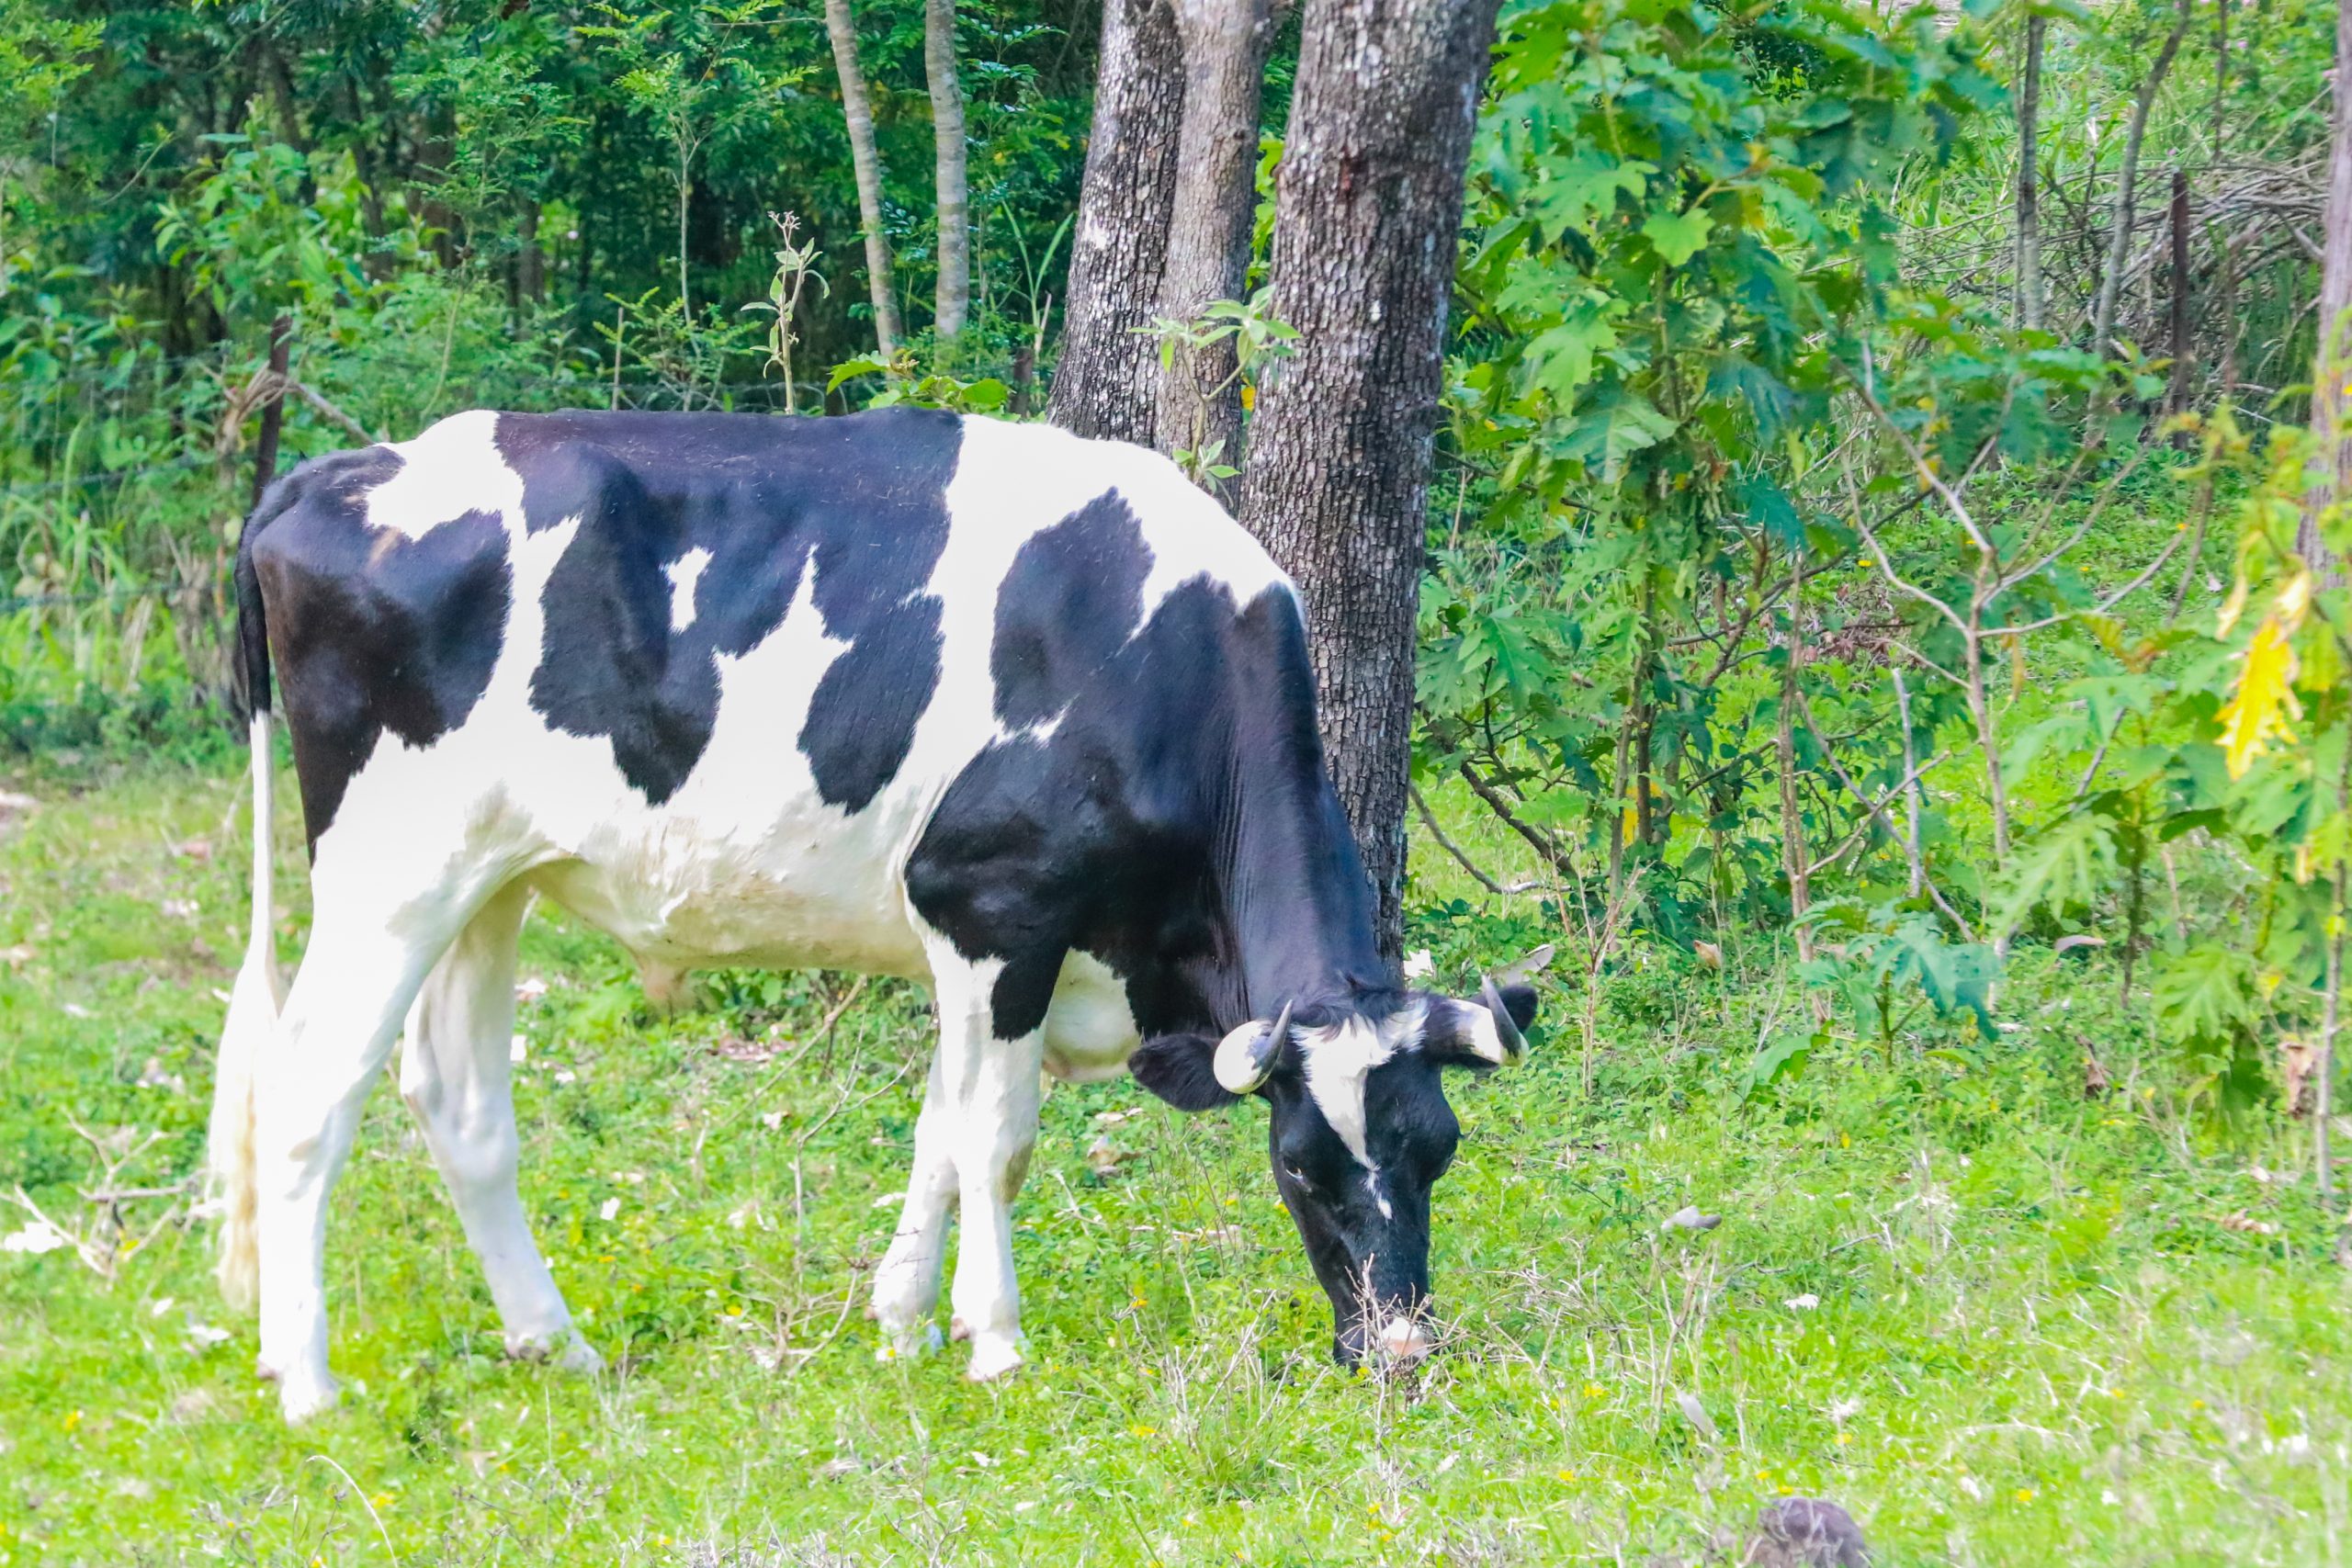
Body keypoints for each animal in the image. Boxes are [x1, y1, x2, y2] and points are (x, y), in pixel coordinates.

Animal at [207, 409, 1543, 1419]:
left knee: (459, 1099)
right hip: (389, 870)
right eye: (1301, 1166)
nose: (1400, 1353)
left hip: (485, 877)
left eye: (1438, 1146)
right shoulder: (992, 907)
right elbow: (994, 1137)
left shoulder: (979, 948)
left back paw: (558, 1345)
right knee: (307, 1090)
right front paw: (992, 1339)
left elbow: (939, 1129)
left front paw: (902, 1320)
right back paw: (308, 1384)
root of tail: (342, 470)